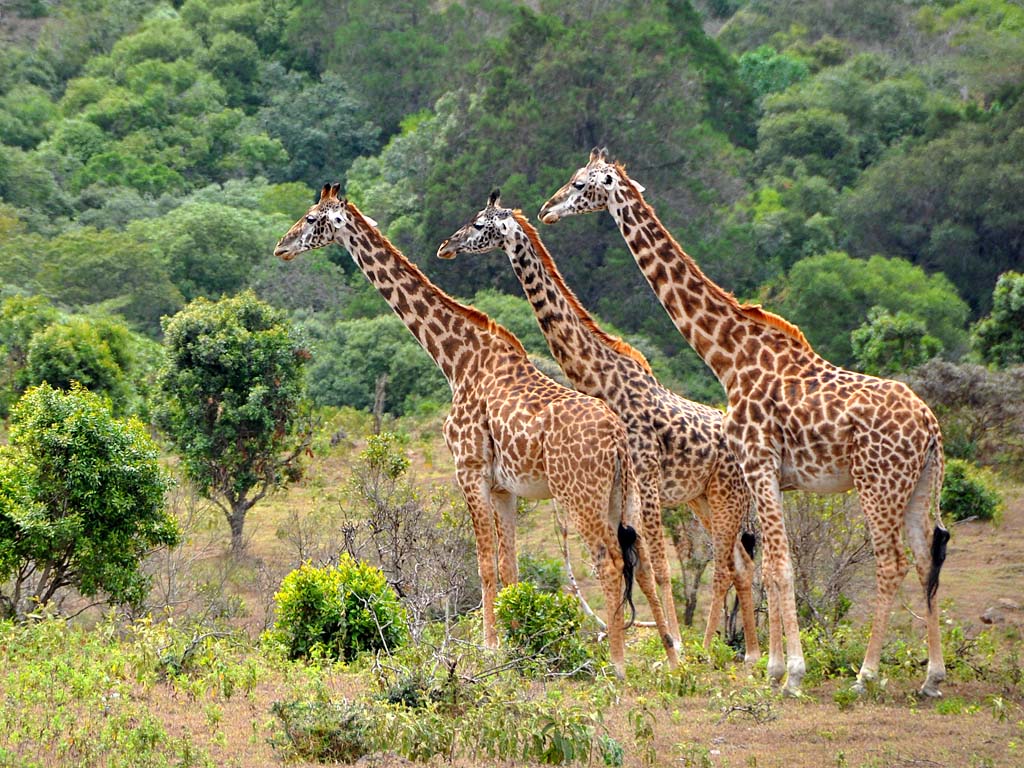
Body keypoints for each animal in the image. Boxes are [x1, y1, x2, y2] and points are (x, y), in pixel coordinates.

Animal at [272, 183, 679, 675]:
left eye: (313, 220)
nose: (281, 246)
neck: (455, 359)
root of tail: (619, 439)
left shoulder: (468, 469)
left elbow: (484, 564)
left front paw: (489, 648)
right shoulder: (504, 487)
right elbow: (511, 568)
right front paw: (519, 647)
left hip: (579, 495)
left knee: (610, 562)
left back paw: (617, 664)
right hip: (627, 493)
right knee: (644, 562)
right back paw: (672, 656)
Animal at [438, 191, 761, 663]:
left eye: (480, 224)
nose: (447, 246)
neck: (599, 376)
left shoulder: (641, 479)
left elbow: (656, 567)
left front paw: (673, 652)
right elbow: (644, 565)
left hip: (723, 496)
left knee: (724, 564)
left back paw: (710, 650)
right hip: (703, 499)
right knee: (742, 560)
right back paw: (753, 654)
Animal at [540, 150, 946, 696]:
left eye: (581, 184)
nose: (546, 209)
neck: (729, 358)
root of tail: (932, 429)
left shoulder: (758, 463)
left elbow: (777, 566)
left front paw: (791, 674)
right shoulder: (762, 473)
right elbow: (768, 564)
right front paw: (773, 667)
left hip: (877, 483)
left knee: (892, 562)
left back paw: (865, 675)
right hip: (919, 486)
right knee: (925, 559)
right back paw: (932, 677)